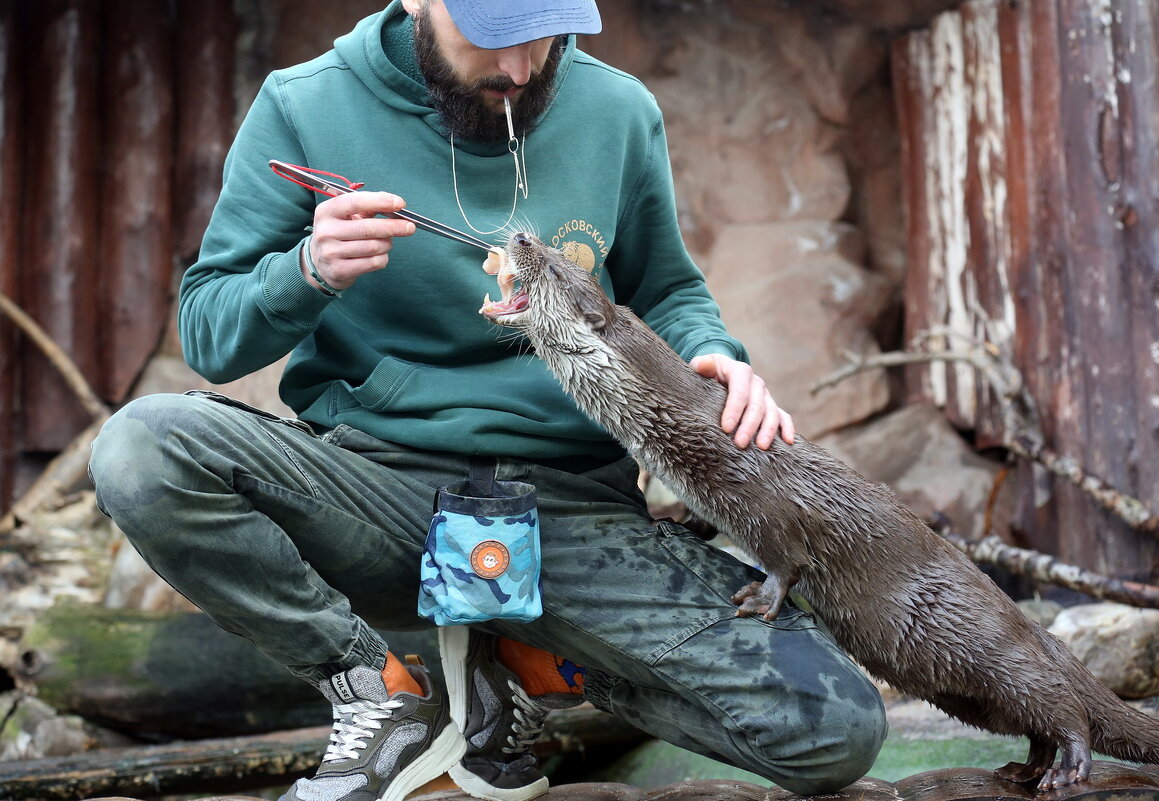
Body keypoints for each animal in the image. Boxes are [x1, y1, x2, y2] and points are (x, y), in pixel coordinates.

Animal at [475, 231, 1159, 797]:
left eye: (554, 267)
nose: (521, 236)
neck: (687, 428)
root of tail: (1032, 626)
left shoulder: (764, 497)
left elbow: (787, 555)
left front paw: (759, 599)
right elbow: (709, 522)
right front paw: (679, 523)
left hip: (991, 648)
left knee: (1060, 705)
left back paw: (1067, 769)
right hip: (967, 693)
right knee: (1033, 717)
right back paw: (1025, 769)